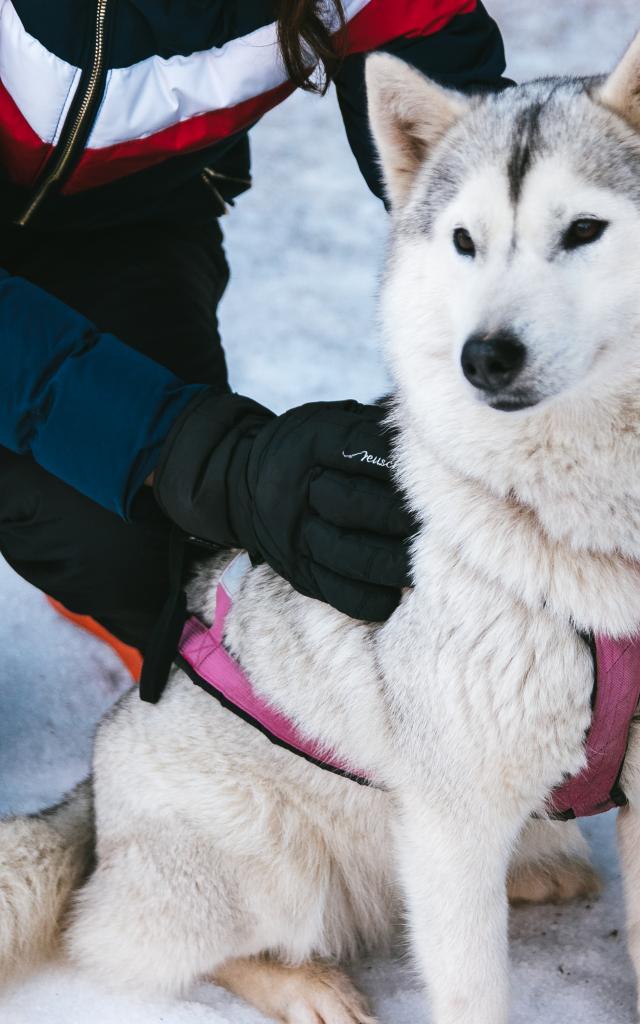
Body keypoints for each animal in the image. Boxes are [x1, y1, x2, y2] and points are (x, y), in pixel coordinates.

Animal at [3, 32, 638, 1024]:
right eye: (465, 241)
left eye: (584, 231)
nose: (485, 357)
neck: (583, 535)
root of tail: (93, 797)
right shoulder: (450, 821)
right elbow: (472, 989)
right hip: (274, 856)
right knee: (120, 938)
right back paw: (303, 985)